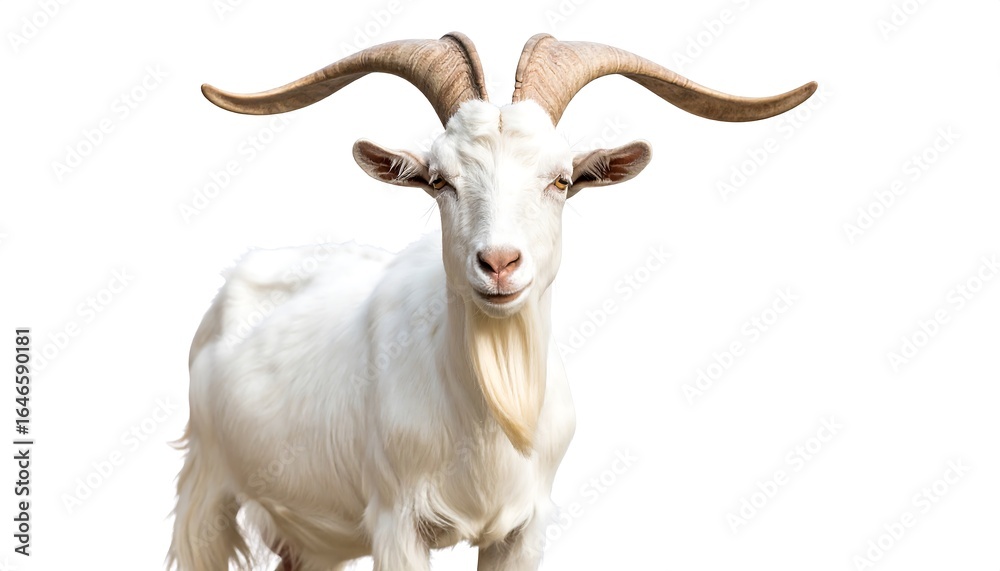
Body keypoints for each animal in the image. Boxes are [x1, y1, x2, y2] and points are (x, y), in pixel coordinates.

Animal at [169, 32, 816, 571]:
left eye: (562, 179)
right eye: (438, 180)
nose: (500, 263)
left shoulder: (525, 530)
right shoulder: (396, 524)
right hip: (206, 488)